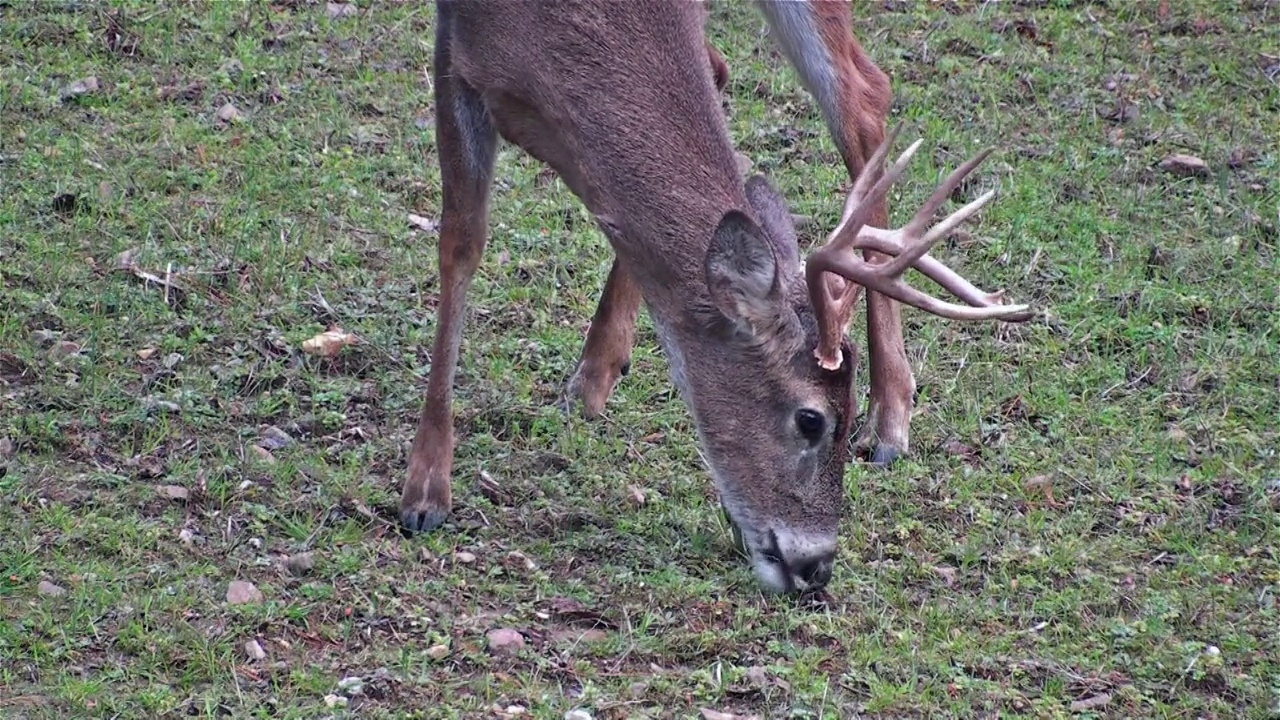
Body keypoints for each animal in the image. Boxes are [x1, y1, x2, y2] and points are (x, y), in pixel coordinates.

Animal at [404, 0, 1034, 591]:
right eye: (811, 420)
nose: (818, 567)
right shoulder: (456, 40)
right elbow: (461, 240)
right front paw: (425, 490)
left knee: (861, 93)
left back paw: (892, 421)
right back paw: (595, 374)